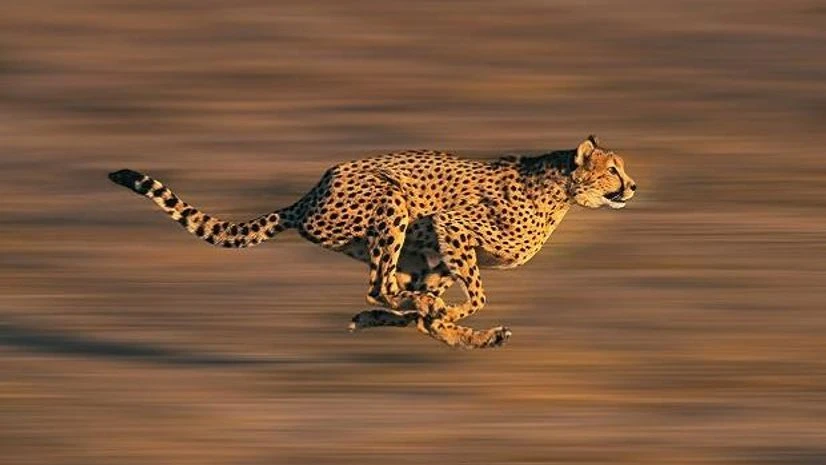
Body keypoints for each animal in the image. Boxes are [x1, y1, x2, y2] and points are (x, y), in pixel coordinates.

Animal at [109, 135, 637, 349]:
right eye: (613, 169)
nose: (632, 187)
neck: (562, 190)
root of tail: (311, 192)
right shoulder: (451, 225)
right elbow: (477, 295)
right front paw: (449, 313)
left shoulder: (439, 249)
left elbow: (441, 306)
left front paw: (448, 320)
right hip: (392, 200)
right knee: (380, 287)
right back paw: (419, 312)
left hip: (407, 245)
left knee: (390, 294)